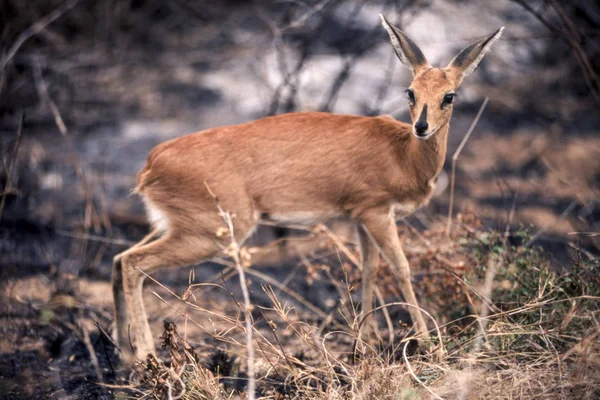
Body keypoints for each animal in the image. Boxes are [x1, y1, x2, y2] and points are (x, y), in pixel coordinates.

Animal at [111, 14, 502, 360]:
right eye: (411, 91)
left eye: (449, 95)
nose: (422, 127)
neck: (403, 154)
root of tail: (152, 164)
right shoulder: (376, 212)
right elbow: (401, 268)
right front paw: (431, 347)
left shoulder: (361, 218)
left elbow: (368, 271)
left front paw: (363, 347)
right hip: (214, 233)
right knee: (133, 263)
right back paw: (145, 354)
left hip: (178, 227)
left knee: (118, 259)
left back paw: (124, 353)